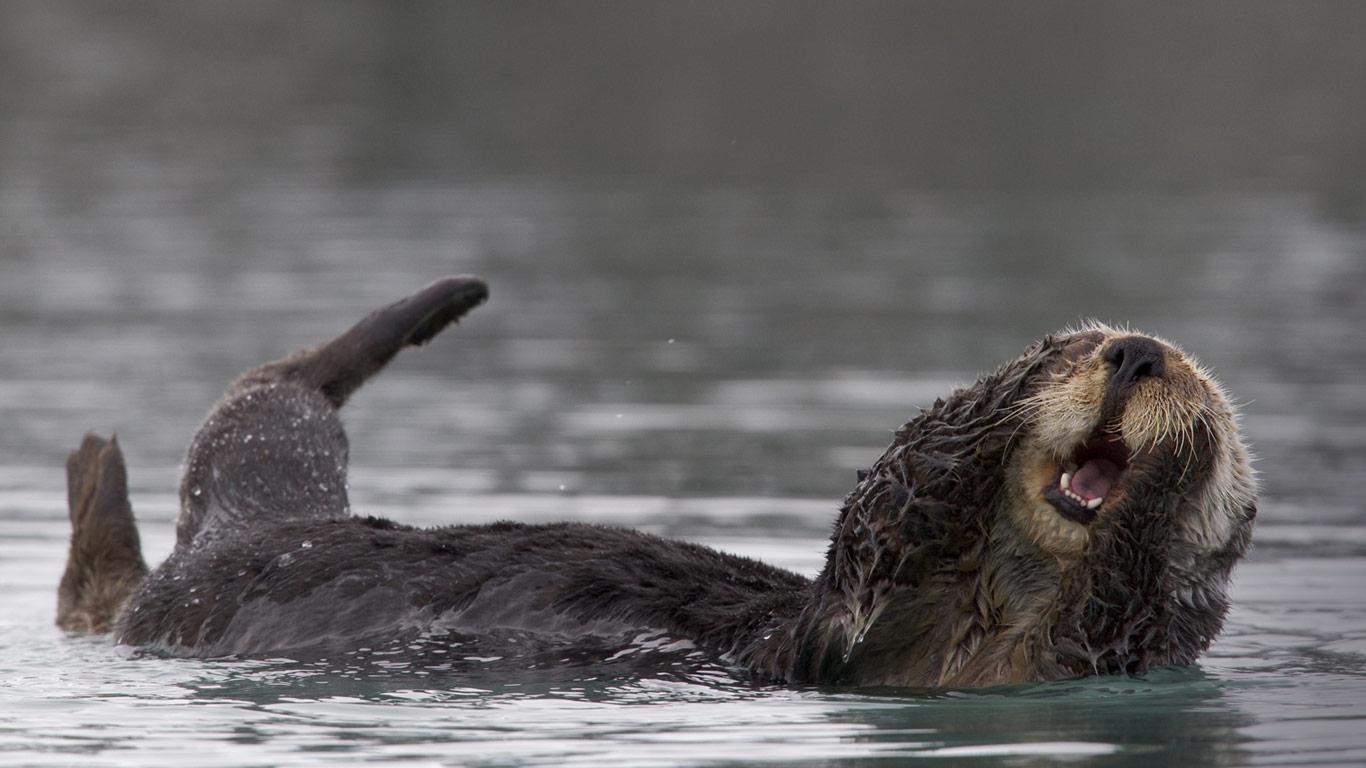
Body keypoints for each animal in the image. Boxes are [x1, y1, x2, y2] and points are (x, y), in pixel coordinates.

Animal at [56, 277, 1256, 683]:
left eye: (1206, 388)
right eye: (1077, 348)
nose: (1137, 355)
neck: (994, 597)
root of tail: (249, 532)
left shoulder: (1046, 656)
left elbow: (1130, 589)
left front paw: (1175, 472)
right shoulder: (860, 599)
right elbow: (899, 490)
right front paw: (1011, 383)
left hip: (215, 553)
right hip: (262, 484)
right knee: (277, 392)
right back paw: (444, 299)